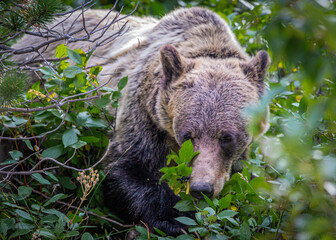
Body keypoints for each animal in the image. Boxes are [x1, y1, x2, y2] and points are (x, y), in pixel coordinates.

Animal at [10, 6, 270, 235]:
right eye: (187, 135)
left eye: (227, 137)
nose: (201, 187)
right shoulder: (143, 114)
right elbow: (126, 170)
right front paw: (172, 220)